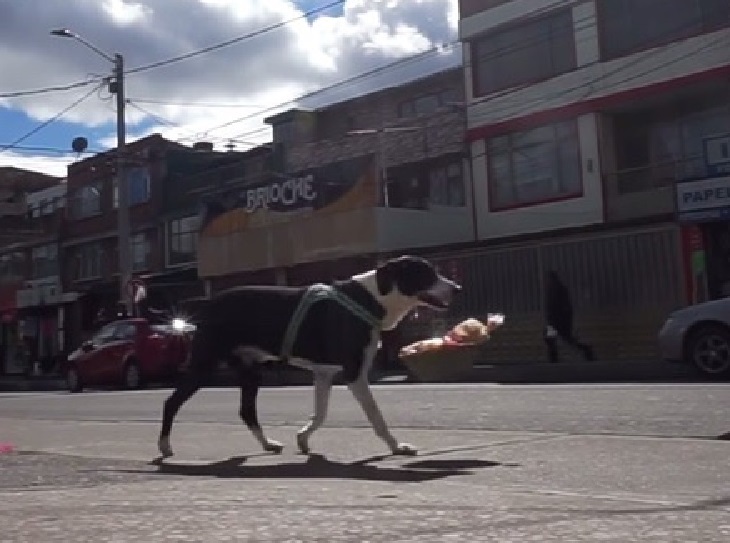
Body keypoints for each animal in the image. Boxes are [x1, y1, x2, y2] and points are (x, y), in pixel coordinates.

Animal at [156, 255, 458, 460]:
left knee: (247, 410)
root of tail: (207, 305)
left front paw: (303, 438)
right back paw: (164, 446)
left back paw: (267, 444)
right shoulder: (354, 372)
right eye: (426, 273)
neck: (372, 297)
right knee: (171, 402)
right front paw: (396, 446)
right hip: (204, 364)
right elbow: (375, 415)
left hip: (251, 369)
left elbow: (321, 413)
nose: (456, 288)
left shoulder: (323, 372)